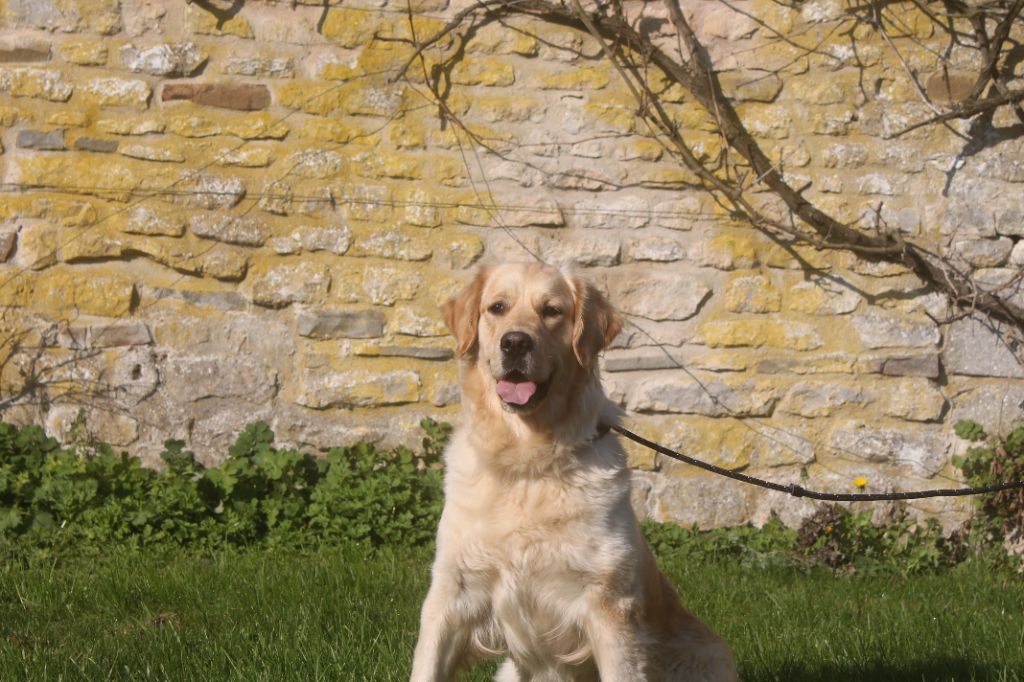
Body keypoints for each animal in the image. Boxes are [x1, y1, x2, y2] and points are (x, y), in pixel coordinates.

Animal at [407, 261, 737, 679]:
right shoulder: (451, 593)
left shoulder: (609, 606)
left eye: (552, 311)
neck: (528, 460)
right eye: (497, 307)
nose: (515, 343)